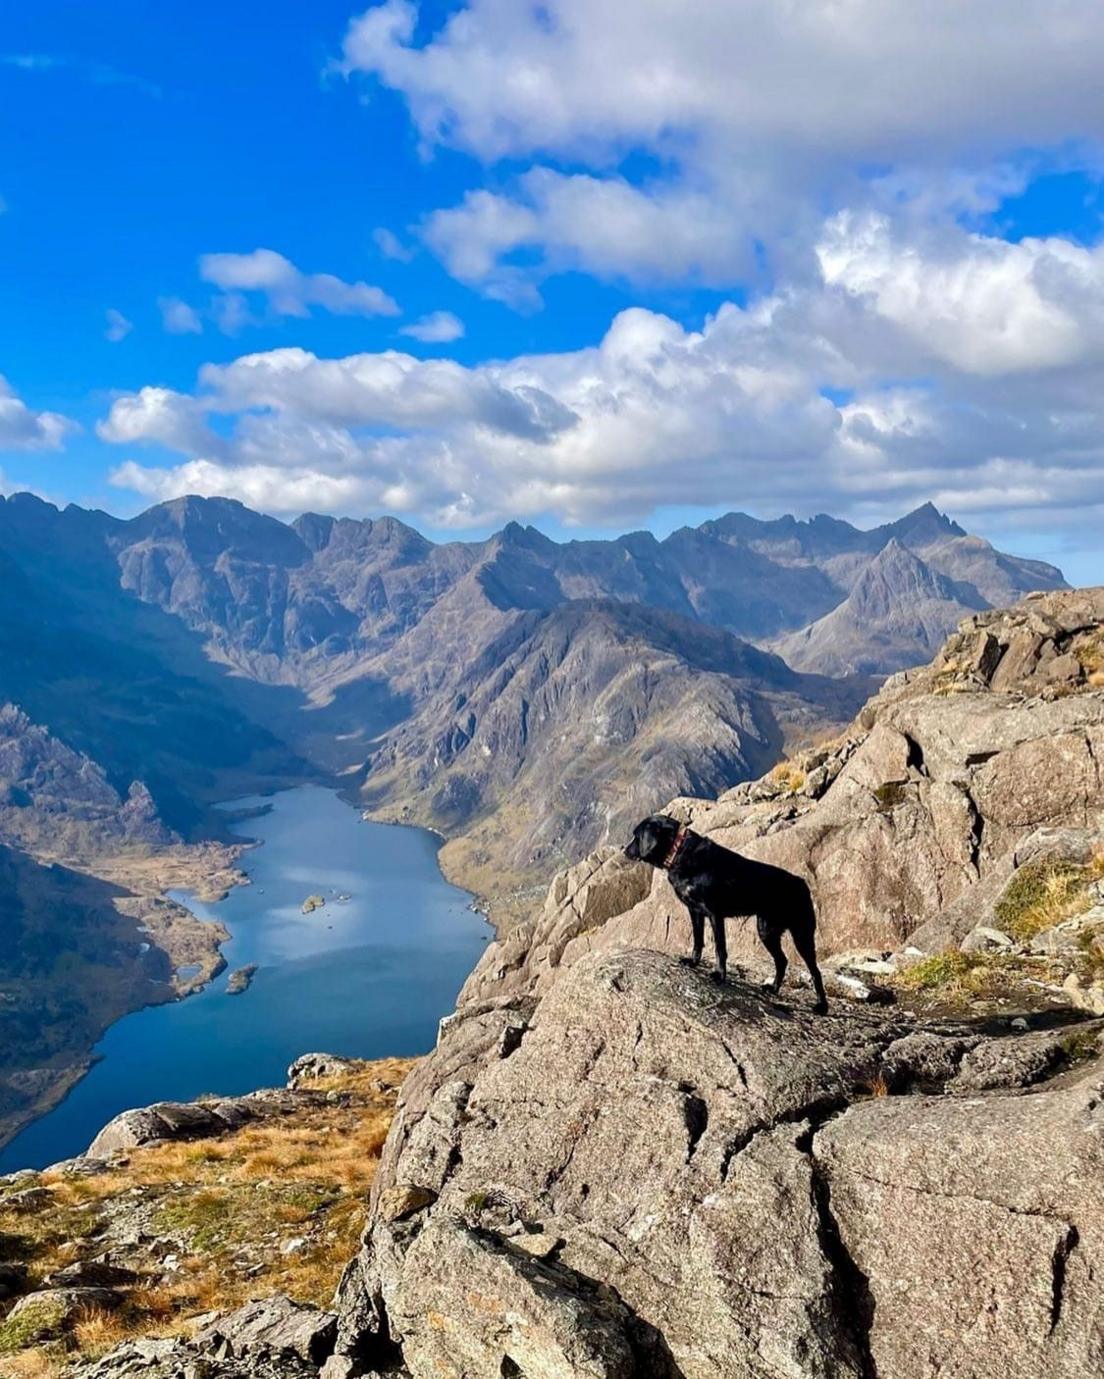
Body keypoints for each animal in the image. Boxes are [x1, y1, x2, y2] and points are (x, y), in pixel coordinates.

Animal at [625, 805, 821, 1014]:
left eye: (636, 836)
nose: (625, 851)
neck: (679, 851)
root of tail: (801, 883)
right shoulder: (695, 911)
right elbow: (698, 940)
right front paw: (693, 962)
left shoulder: (714, 913)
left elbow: (720, 947)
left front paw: (719, 975)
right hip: (767, 930)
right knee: (782, 960)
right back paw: (774, 988)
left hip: (801, 934)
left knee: (814, 970)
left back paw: (821, 1006)